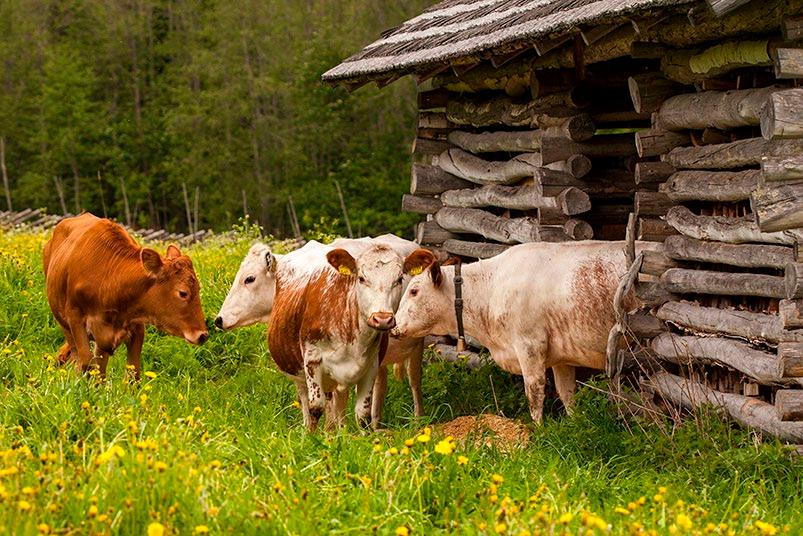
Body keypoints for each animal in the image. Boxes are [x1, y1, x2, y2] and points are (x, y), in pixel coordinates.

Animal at [43, 211, 207, 378]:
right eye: (183, 293)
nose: (203, 335)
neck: (109, 281)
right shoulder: (75, 317)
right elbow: (85, 362)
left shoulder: (137, 327)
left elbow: (133, 372)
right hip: (64, 322)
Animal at [214, 234, 428, 428]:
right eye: (361, 278)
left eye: (249, 279)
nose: (219, 319)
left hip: (416, 345)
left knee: (414, 381)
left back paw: (417, 419)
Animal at [392, 242, 664, 422]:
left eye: (414, 291)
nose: (394, 326)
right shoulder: (561, 356)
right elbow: (567, 394)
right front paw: (575, 425)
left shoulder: (529, 345)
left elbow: (534, 392)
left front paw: (539, 432)